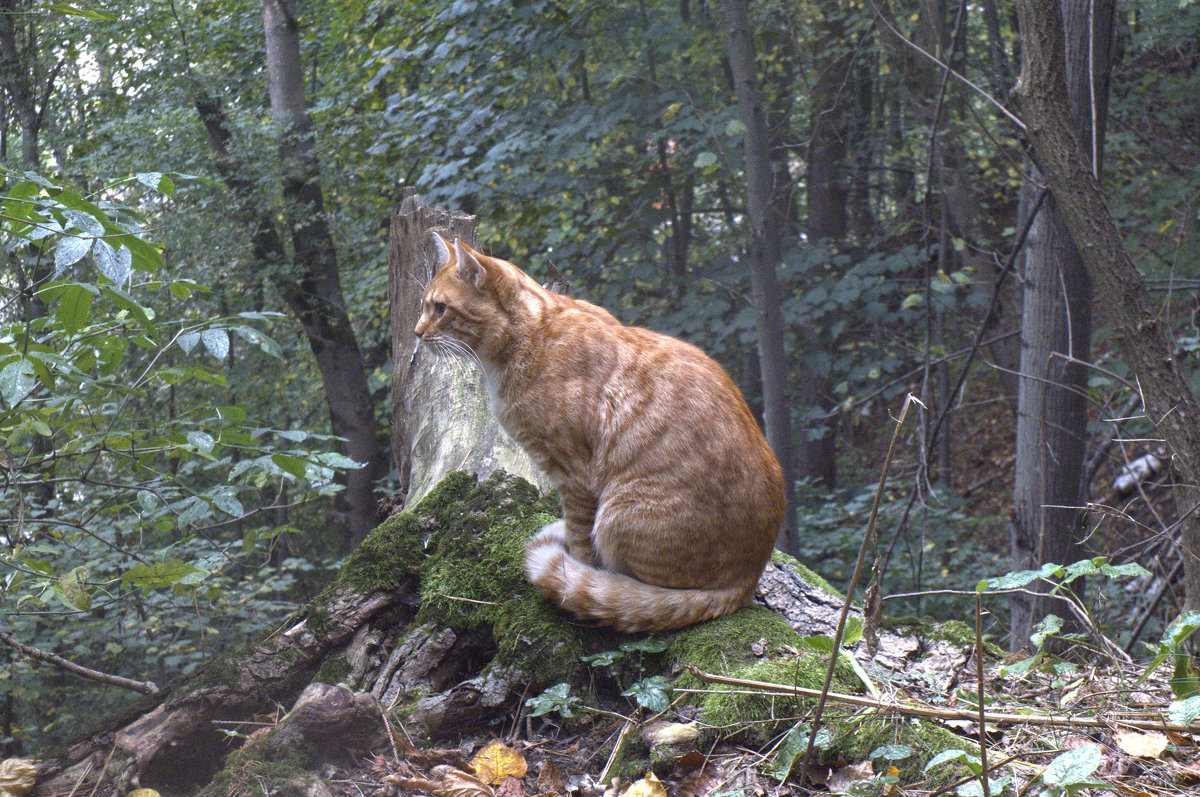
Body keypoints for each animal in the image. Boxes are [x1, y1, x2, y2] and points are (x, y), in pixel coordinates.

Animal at [415, 234, 787, 633]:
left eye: (440, 308)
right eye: (424, 306)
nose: (417, 333)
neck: (530, 333)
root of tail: (746, 581)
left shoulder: (573, 474)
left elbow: (579, 541)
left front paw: (575, 569)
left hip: (617, 513)